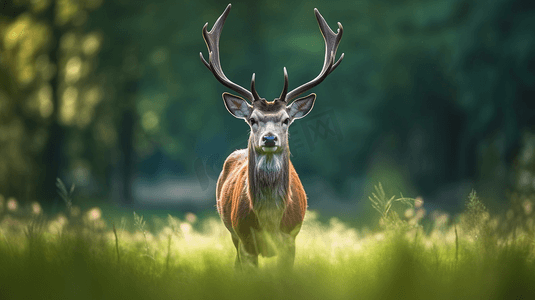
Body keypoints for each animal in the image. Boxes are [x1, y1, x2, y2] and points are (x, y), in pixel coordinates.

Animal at [200, 3, 344, 268]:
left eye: (286, 120)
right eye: (252, 120)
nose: (269, 139)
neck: (269, 221)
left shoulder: (290, 240)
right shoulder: (245, 240)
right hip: (232, 236)